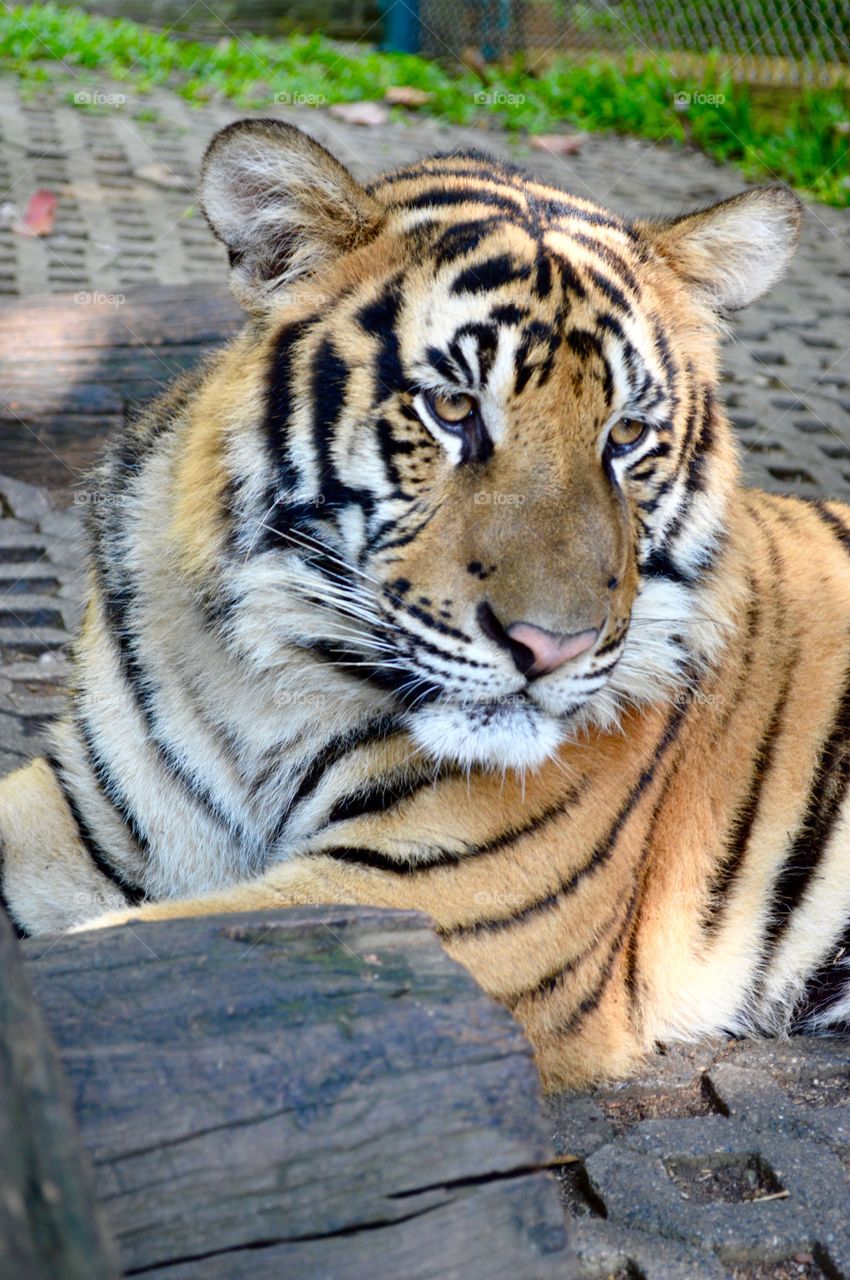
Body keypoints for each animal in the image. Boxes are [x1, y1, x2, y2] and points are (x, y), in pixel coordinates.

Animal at [1, 117, 848, 1090]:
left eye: (627, 435)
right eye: (452, 408)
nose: (551, 648)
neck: (259, 677)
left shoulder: (430, 898)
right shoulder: (85, 809)